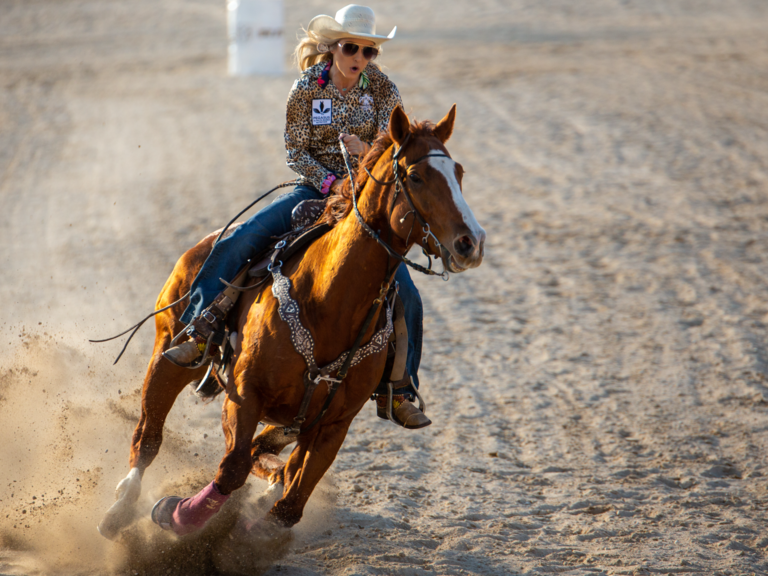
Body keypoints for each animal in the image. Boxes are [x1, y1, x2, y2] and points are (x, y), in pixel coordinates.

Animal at [97, 103, 486, 540]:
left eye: (459, 173)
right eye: (416, 176)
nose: (472, 242)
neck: (328, 300)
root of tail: (206, 242)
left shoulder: (334, 424)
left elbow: (288, 506)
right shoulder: (244, 393)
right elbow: (231, 470)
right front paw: (173, 514)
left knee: (269, 456)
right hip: (169, 351)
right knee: (149, 433)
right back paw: (119, 510)